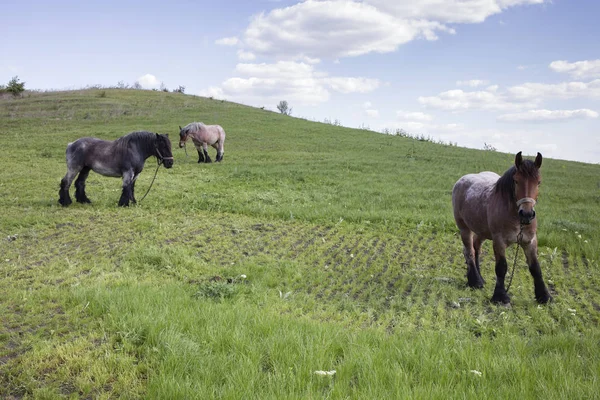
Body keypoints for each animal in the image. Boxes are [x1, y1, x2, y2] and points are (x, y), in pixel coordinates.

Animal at [452, 152, 552, 304]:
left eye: (538, 182)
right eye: (516, 181)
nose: (527, 214)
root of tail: (461, 180)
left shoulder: (530, 241)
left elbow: (535, 267)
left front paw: (544, 296)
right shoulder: (499, 241)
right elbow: (501, 267)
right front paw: (501, 297)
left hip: (482, 231)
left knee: (476, 248)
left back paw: (479, 278)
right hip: (464, 228)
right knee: (469, 251)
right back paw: (475, 281)